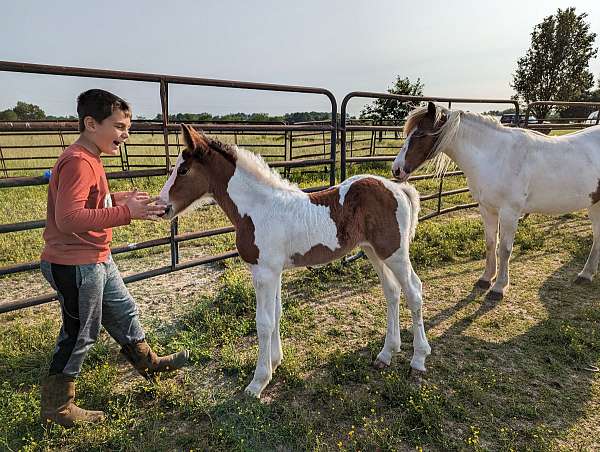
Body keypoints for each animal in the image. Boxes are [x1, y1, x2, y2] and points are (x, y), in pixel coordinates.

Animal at [161, 123, 432, 396]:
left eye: (183, 170)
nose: (162, 206)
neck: (258, 208)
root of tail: (398, 188)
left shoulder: (263, 273)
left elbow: (264, 323)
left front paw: (258, 382)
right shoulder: (274, 272)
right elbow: (277, 314)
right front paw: (274, 362)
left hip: (395, 252)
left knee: (414, 291)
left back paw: (419, 359)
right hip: (373, 251)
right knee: (392, 291)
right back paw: (386, 353)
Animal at [392, 102, 600, 300]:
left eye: (420, 134)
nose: (397, 170)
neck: (496, 156)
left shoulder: (509, 213)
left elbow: (505, 249)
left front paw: (499, 287)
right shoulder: (487, 209)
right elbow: (491, 243)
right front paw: (485, 279)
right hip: (594, 204)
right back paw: (586, 274)